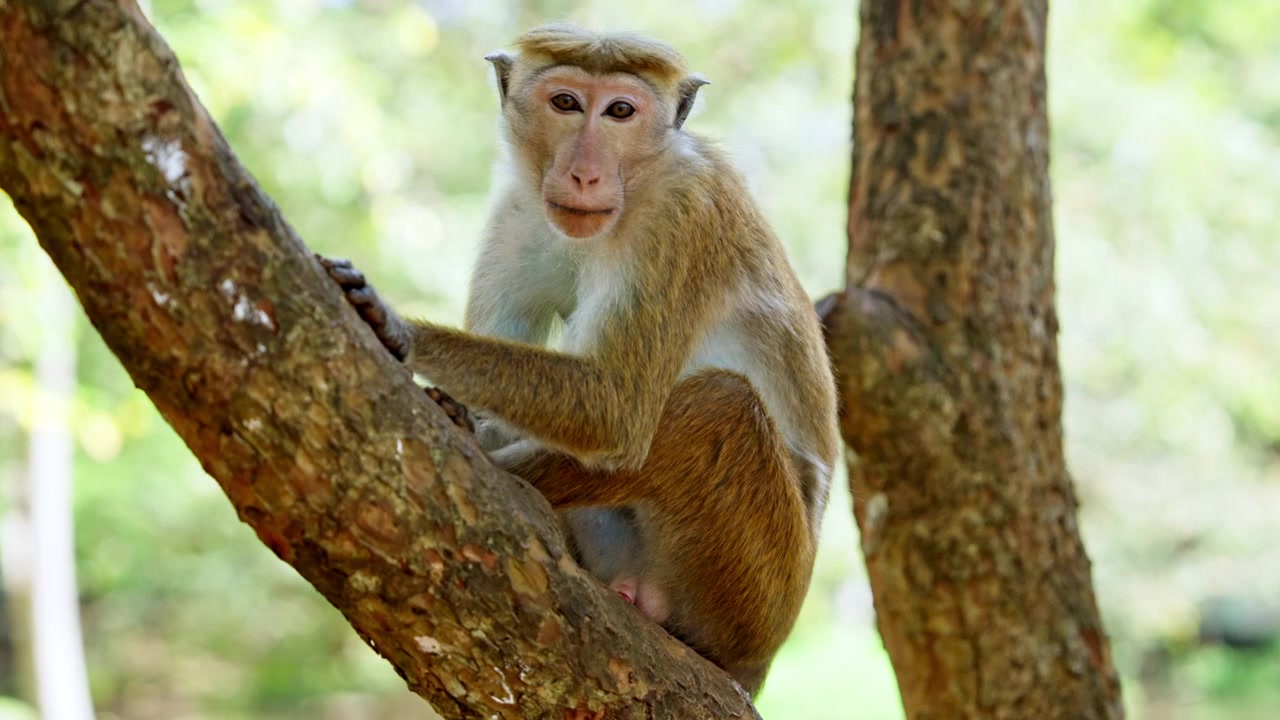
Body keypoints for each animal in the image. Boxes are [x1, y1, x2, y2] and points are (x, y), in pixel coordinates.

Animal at [318, 23, 839, 695]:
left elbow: (614, 409)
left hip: (753, 597)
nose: (585, 174)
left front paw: (400, 326)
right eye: (566, 103)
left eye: (620, 111)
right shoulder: (516, 212)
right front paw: (461, 407)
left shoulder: (684, 213)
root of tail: (762, 662)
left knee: (720, 406)